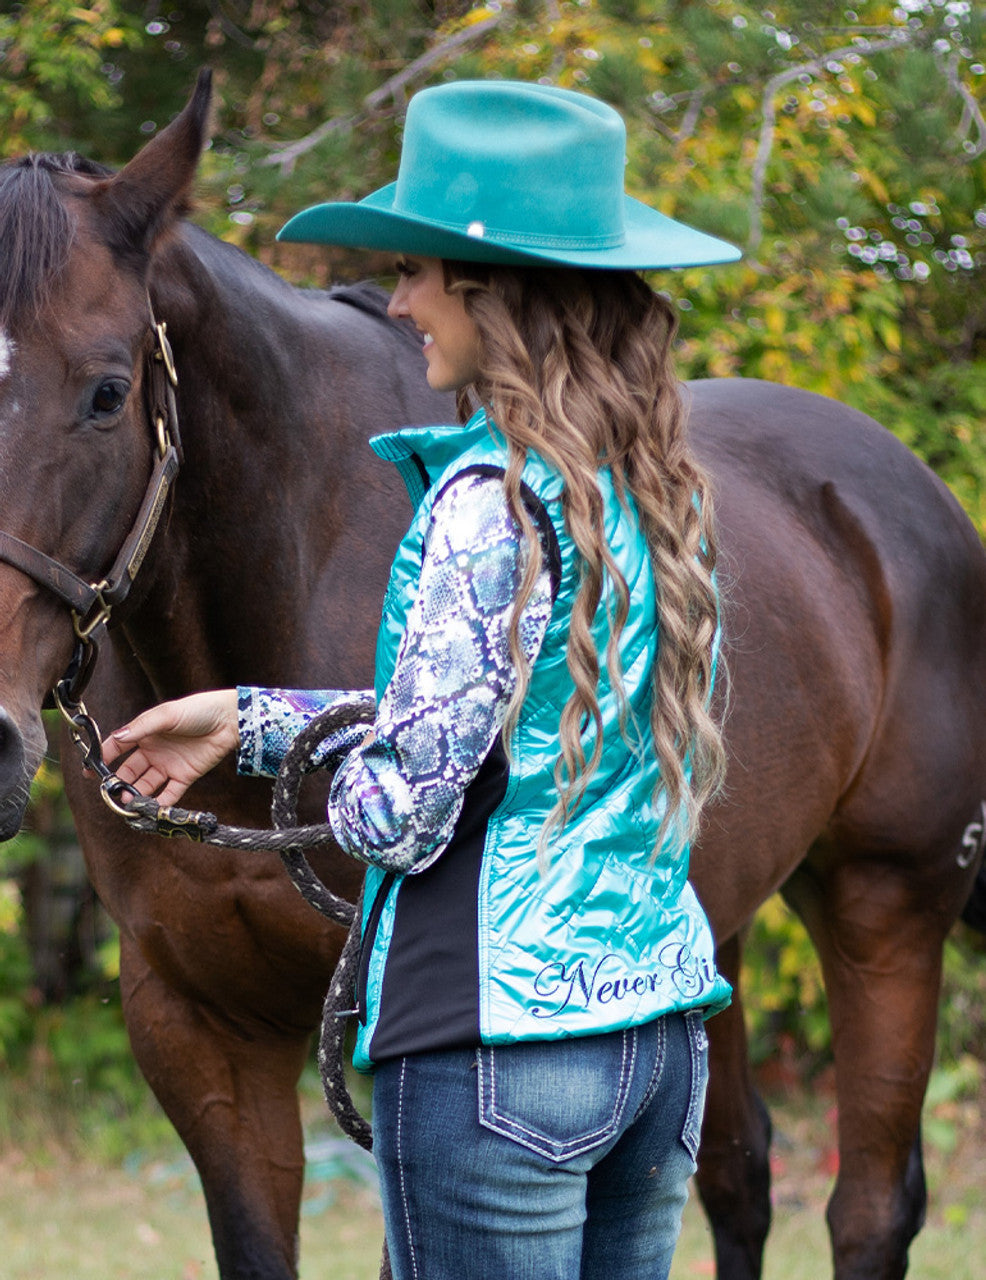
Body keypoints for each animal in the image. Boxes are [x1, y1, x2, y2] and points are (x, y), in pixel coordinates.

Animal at [1, 72, 983, 1280]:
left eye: (104, 393)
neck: (294, 558)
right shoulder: (196, 1034)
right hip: (712, 937)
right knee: (735, 1173)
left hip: (887, 904)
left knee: (869, 1208)